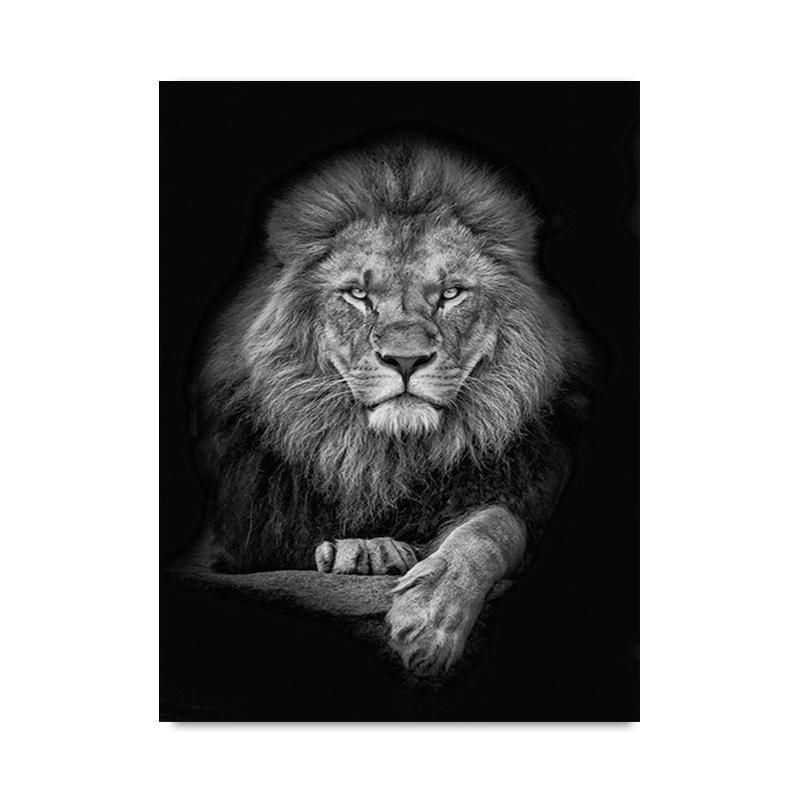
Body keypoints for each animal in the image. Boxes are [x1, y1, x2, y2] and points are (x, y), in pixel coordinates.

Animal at [185, 133, 595, 676]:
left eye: (451, 293)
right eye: (358, 294)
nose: (405, 359)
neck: (385, 458)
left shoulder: (525, 489)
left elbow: (493, 527)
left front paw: (431, 619)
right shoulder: (234, 539)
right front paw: (365, 552)